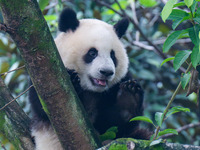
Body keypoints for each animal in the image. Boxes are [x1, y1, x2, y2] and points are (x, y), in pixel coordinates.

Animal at [28, 7, 149, 150]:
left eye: (112, 55)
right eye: (92, 53)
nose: (106, 72)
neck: (91, 91)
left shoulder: (119, 83)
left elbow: (115, 124)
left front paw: (129, 98)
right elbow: (43, 108)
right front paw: (72, 79)